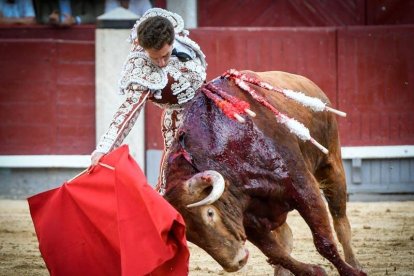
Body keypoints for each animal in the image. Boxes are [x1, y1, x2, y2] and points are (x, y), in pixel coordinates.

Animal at [162, 71, 366, 276]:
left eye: (210, 213)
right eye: (189, 235)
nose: (236, 262)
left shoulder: (304, 187)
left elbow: (324, 242)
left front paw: (351, 273)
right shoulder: (248, 219)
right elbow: (275, 252)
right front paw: (313, 271)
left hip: (331, 164)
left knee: (340, 221)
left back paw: (355, 265)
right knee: (286, 236)